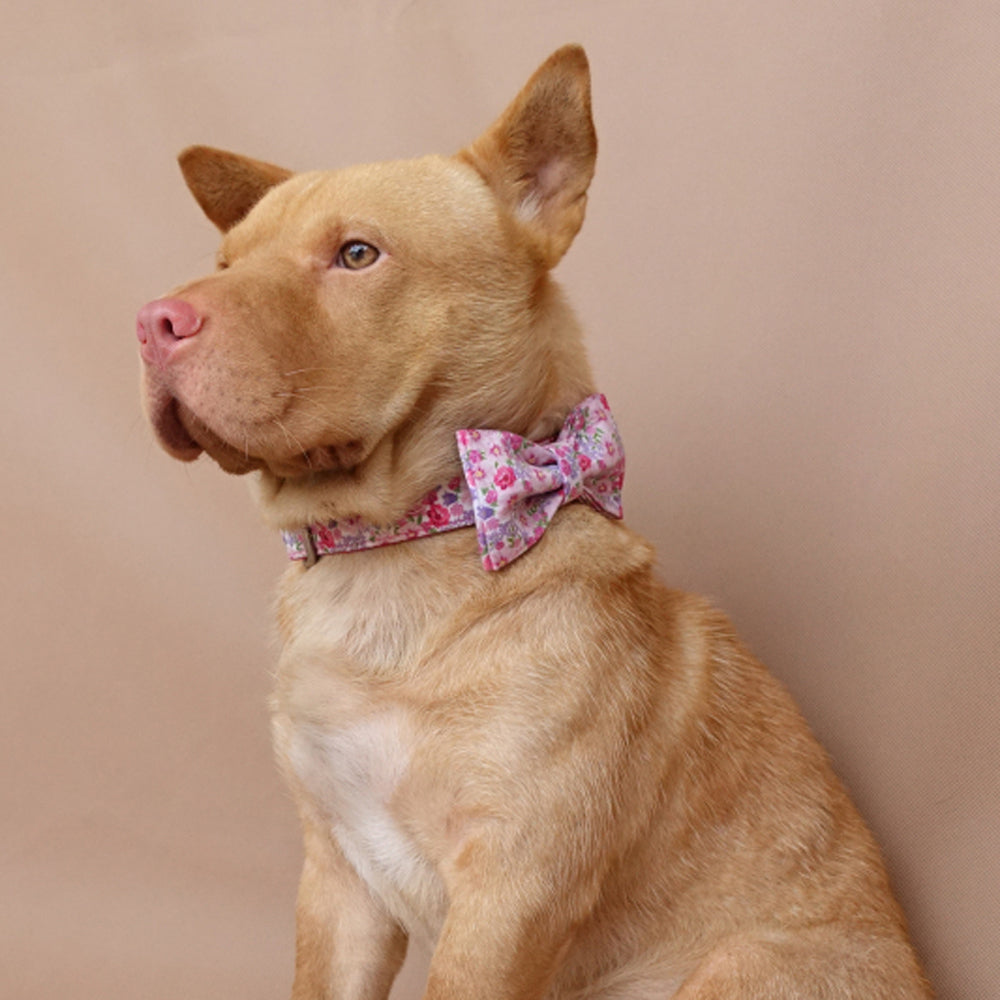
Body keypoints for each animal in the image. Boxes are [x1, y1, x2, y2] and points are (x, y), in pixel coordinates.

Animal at [133, 43, 928, 996]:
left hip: (734, 965)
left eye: (357, 253)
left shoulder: (512, 894)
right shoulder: (338, 881)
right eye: (222, 264)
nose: (154, 321)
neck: (392, 553)